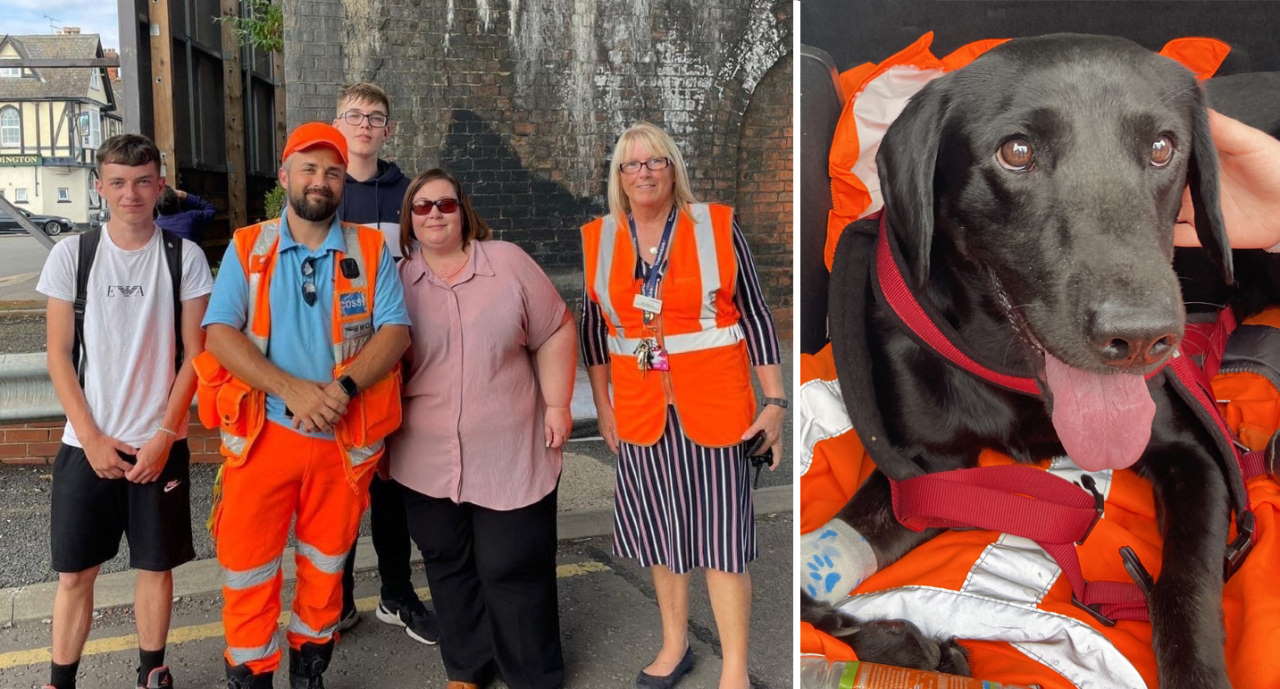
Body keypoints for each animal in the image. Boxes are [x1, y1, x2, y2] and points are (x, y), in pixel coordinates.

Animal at [808, 33, 1249, 686]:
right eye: (1016, 152)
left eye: (1162, 148)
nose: (1141, 338)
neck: (1015, 373)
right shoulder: (929, 471)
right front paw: (893, 643)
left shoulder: (1192, 454)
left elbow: (1186, 588)